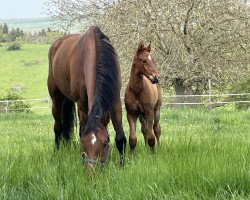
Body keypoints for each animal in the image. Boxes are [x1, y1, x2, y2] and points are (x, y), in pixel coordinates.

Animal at [46, 25, 126, 171]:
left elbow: (120, 137)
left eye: (105, 143)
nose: (90, 172)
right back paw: (57, 153)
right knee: (58, 127)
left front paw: (123, 165)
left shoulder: (115, 99)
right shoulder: (81, 102)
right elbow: (81, 131)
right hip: (56, 98)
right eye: (84, 144)